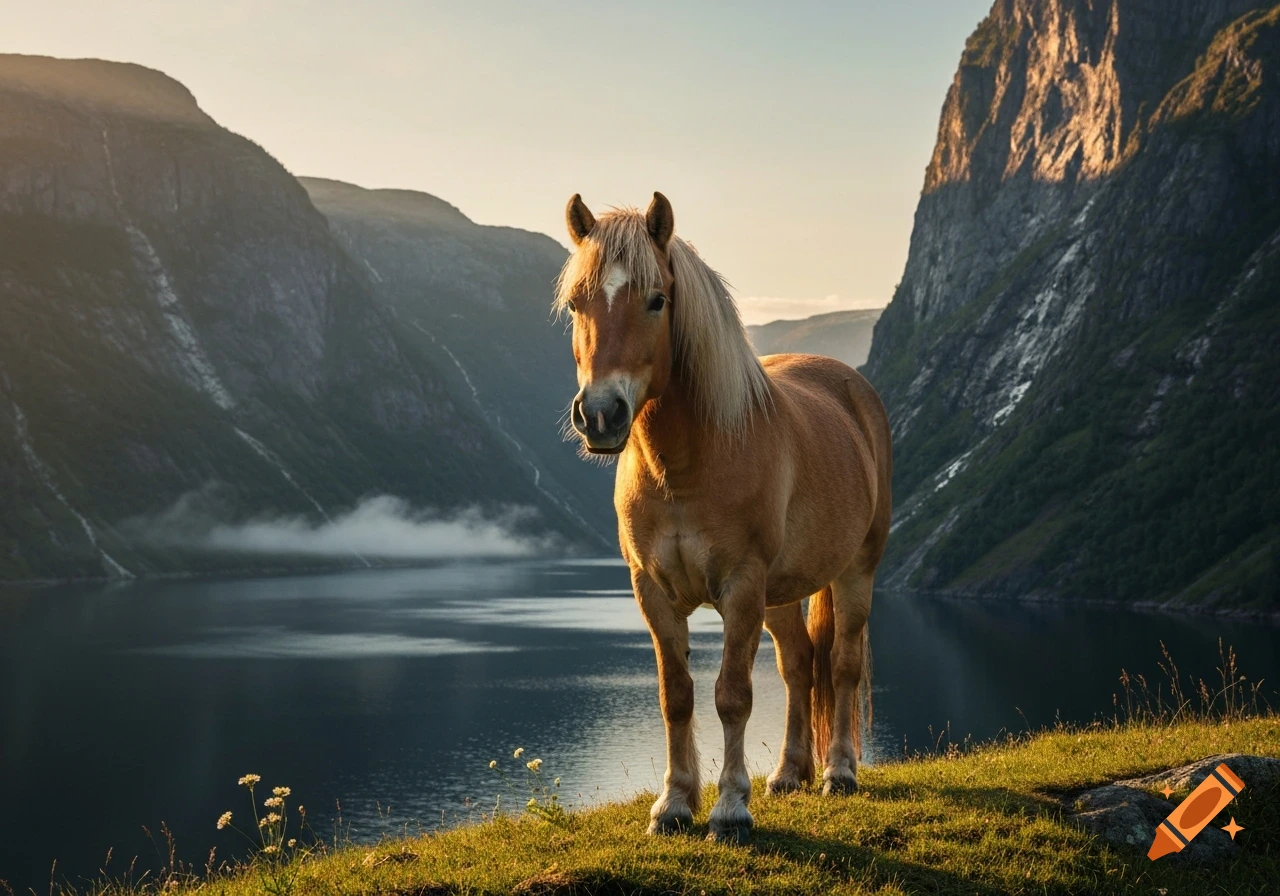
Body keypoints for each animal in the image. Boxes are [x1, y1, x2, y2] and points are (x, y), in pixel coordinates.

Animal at [555, 192, 892, 843]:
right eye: (577, 303)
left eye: (657, 299)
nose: (602, 414)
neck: (685, 468)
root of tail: (852, 387)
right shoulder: (652, 591)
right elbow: (677, 695)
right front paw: (674, 804)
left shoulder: (740, 588)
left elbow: (732, 695)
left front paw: (731, 808)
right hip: (782, 593)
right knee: (798, 666)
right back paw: (788, 774)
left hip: (854, 572)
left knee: (840, 664)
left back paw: (838, 772)